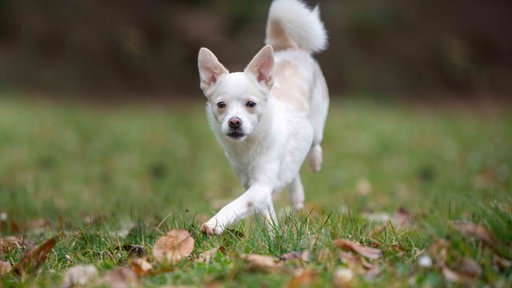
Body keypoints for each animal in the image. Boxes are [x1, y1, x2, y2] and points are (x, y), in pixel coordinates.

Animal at [196, 0, 328, 234]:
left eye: (251, 104)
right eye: (221, 105)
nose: (234, 121)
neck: (248, 145)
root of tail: (287, 48)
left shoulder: (259, 187)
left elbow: (236, 204)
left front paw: (214, 223)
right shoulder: (254, 187)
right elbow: (265, 214)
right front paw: (273, 235)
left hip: (317, 123)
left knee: (315, 143)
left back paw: (315, 162)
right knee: (294, 172)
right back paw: (297, 196)